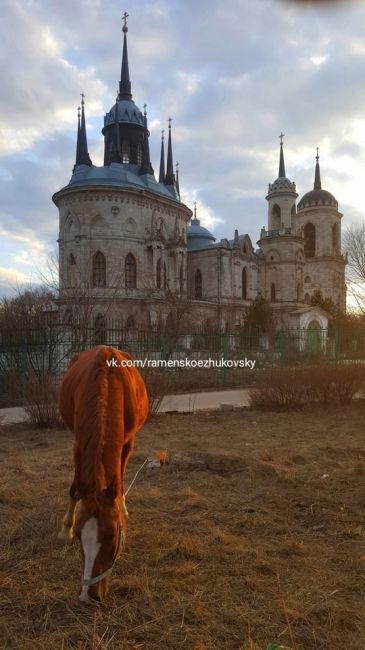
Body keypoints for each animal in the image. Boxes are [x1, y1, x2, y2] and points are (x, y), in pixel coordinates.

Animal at [57, 344, 148, 604]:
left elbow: (120, 481)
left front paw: (122, 508)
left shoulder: (127, 443)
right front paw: (65, 529)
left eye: (112, 536)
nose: (88, 596)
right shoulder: (79, 444)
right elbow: (75, 489)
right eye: (80, 536)